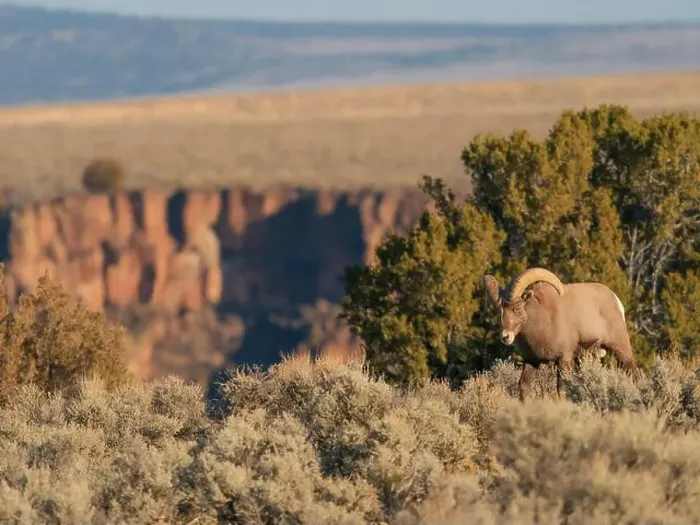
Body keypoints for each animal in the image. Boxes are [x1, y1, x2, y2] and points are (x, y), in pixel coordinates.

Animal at [483, 267, 637, 401]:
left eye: (516, 309)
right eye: (499, 311)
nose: (505, 336)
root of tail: (616, 302)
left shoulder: (563, 359)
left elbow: (561, 390)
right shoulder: (531, 361)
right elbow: (524, 387)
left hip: (621, 349)